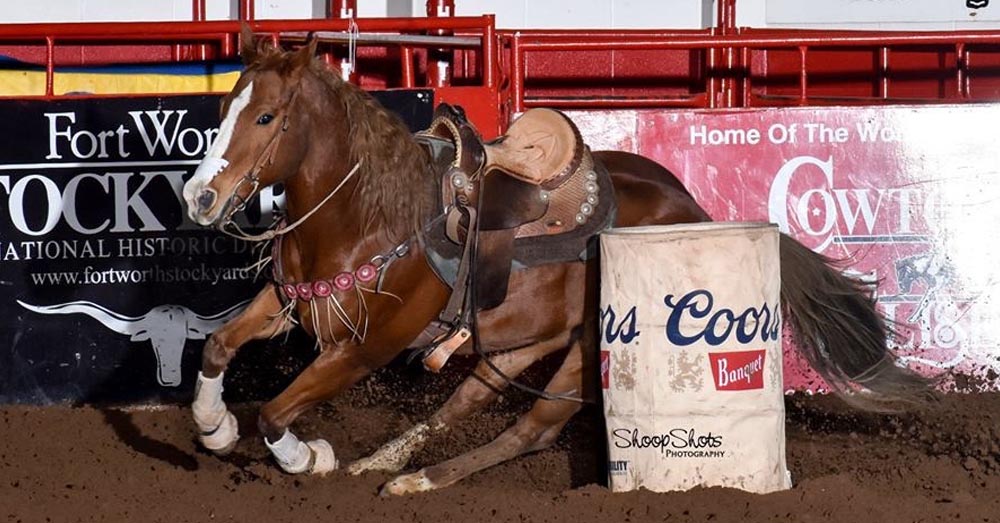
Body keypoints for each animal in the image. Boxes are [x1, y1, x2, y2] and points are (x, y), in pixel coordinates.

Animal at [180, 30, 928, 498]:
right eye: (224, 109)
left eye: (267, 117)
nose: (199, 196)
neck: (368, 213)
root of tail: (695, 206)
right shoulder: (292, 299)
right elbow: (216, 348)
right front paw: (214, 429)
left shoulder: (367, 345)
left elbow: (275, 412)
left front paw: (309, 457)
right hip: (523, 336)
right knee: (466, 399)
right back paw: (385, 462)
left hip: (587, 348)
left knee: (532, 427)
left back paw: (414, 478)